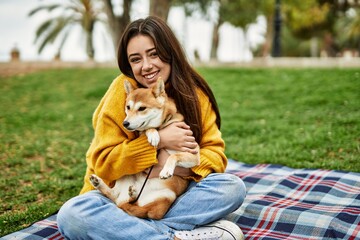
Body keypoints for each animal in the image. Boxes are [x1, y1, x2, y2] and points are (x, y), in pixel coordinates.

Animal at [89, 77, 201, 219]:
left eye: (142, 108)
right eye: (128, 107)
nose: (125, 123)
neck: (162, 125)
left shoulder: (193, 156)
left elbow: (173, 155)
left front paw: (166, 171)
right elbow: (148, 129)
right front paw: (153, 134)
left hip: (166, 196)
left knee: (132, 205)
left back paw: (131, 194)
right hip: (126, 173)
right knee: (118, 198)